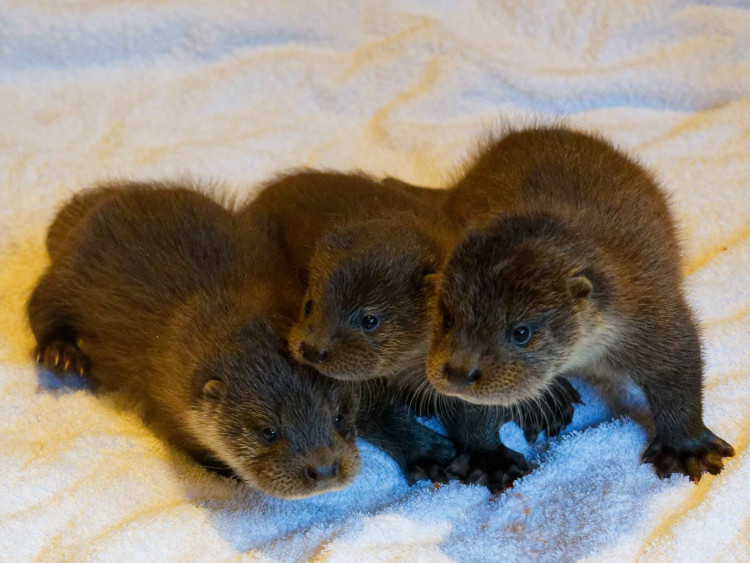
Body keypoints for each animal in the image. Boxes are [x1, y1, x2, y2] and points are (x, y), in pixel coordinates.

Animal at [28, 183, 361, 499]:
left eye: (338, 417)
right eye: (268, 431)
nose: (323, 468)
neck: (227, 302)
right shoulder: (168, 404)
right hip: (69, 272)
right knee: (40, 305)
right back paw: (61, 353)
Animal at [244, 171, 582, 490]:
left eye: (370, 320)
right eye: (310, 304)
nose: (312, 349)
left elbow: (475, 409)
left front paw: (489, 459)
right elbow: (383, 418)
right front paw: (429, 456)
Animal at [428, 126, 734, 482]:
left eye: (521, 332)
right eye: (448, 318)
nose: (459, 373)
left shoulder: (645, 310)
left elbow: (676, 366)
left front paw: (688, 449)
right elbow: (469, 408)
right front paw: (487, 458)